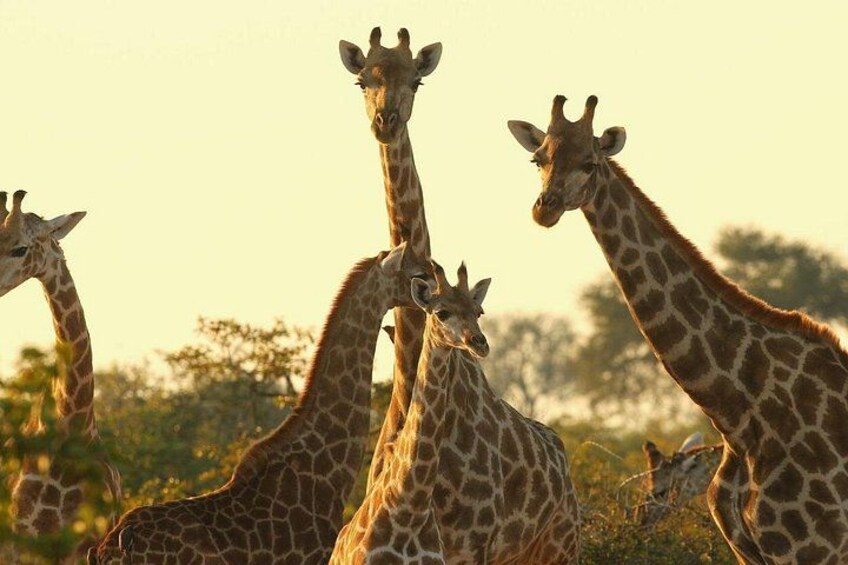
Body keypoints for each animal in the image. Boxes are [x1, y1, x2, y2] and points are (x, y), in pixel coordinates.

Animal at [332, 262, 580, 564]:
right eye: (441, 312)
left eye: (478, 311)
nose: (479, 342)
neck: (408, 511)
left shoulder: (475, 546)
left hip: (559, 545)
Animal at [508, 94, 848, 563]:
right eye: (537, 158)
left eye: (590, 163)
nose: (546, 207)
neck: (742, 417)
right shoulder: (749, 549)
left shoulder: (814, 547)